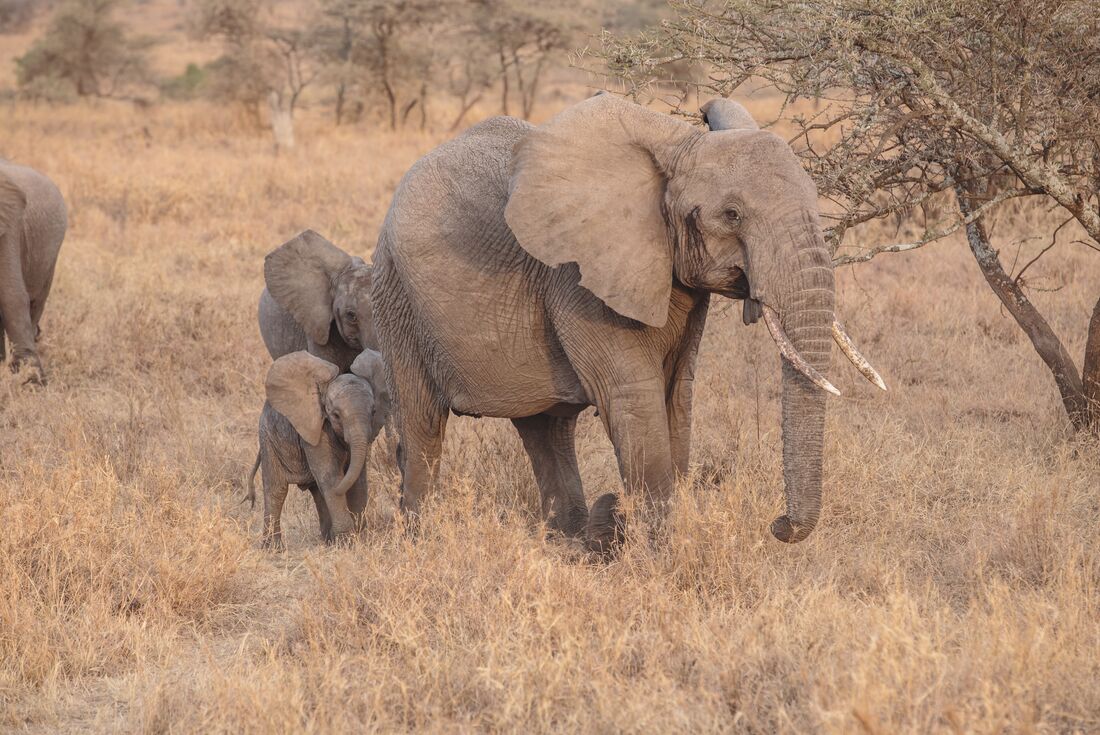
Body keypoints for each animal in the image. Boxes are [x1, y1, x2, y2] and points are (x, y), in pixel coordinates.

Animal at [247, 349, 390, 547]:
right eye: (335, 415)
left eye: (374, 412)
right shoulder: (318, 429)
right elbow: (330, 476)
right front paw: (346, 541)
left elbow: (357, 479)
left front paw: (359, 536)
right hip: (267, 436)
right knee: (276, 489)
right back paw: (273, 548)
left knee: (317, 491)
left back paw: (327, 539)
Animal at [370, 94, 884, 552]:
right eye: (732, 214)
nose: (778, 525)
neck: (678, 147)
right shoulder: (579, 277)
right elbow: (635, 396)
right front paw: (663, 561)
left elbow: (677, 393)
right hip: (397, 300)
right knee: (422, 425)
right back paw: (419, 543)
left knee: (546, 430)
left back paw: (569, 544)